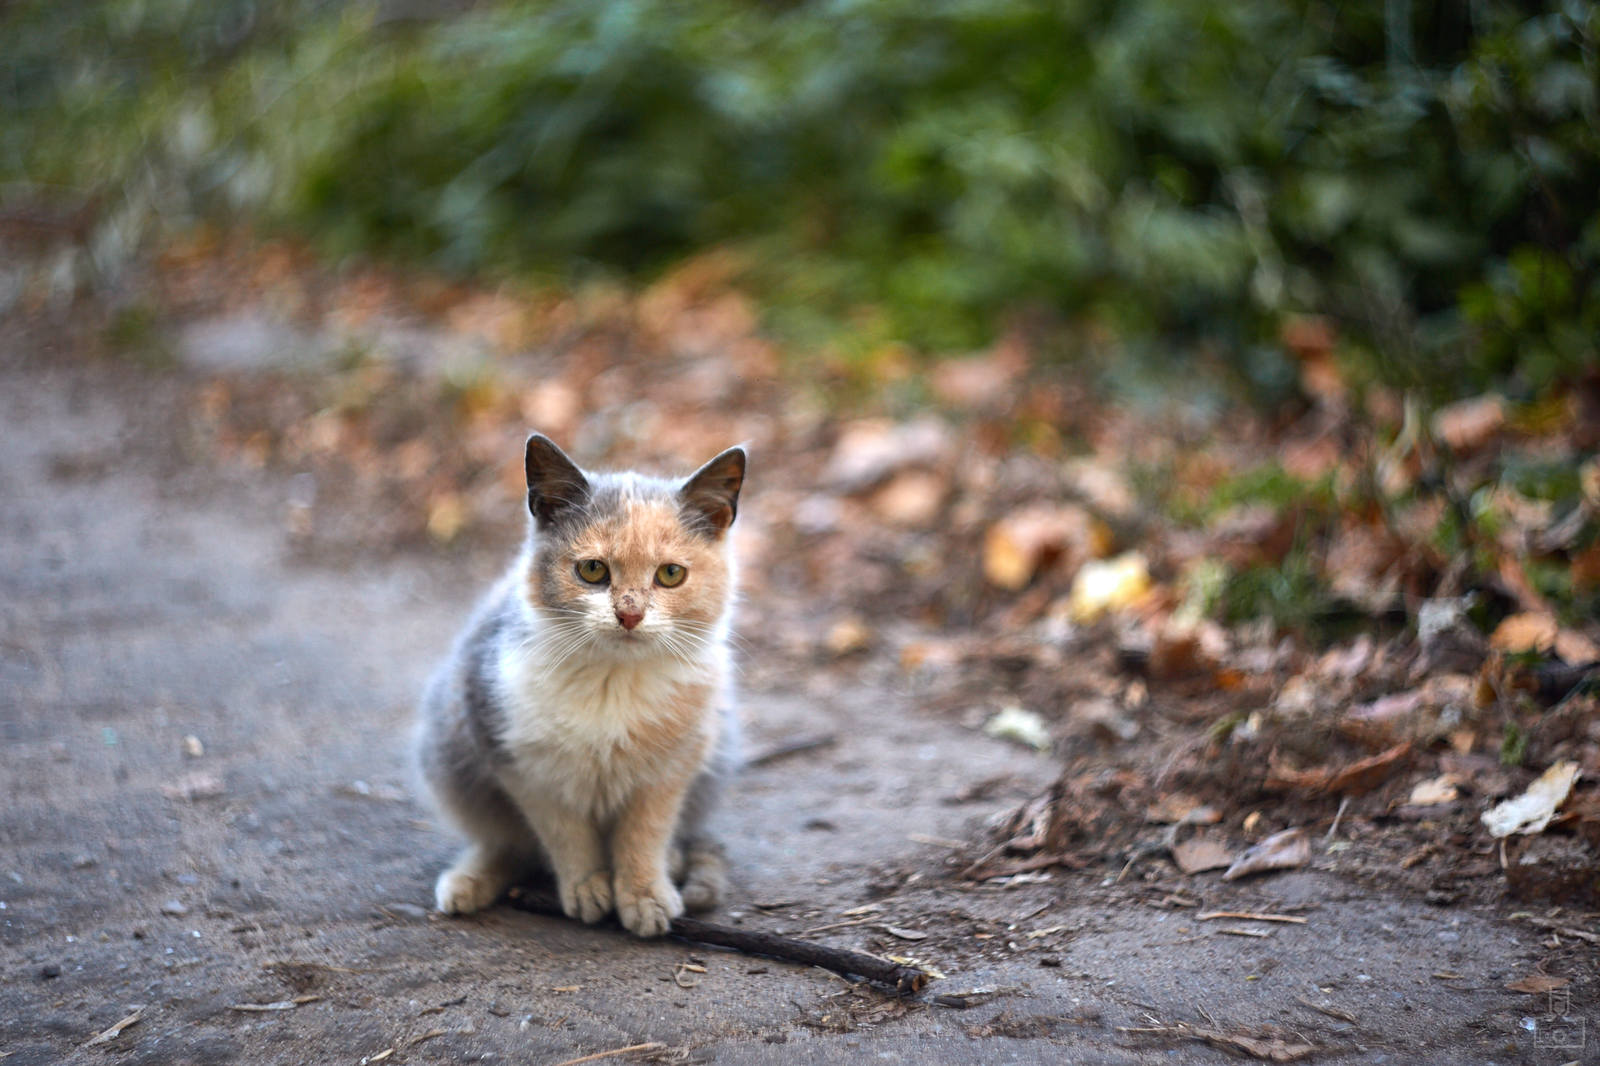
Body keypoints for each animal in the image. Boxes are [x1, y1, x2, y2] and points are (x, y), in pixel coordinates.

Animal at [409, 428, 739, 928]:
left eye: (670, 574)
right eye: (592, 570)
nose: (629, 614)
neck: (611, 682)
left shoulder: (673, 766)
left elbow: (645, 830)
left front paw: (643, 893)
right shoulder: (520, 760)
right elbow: (564, 832)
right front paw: (586, 887)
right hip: (452, 745)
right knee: (509, 843)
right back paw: (470, 881)